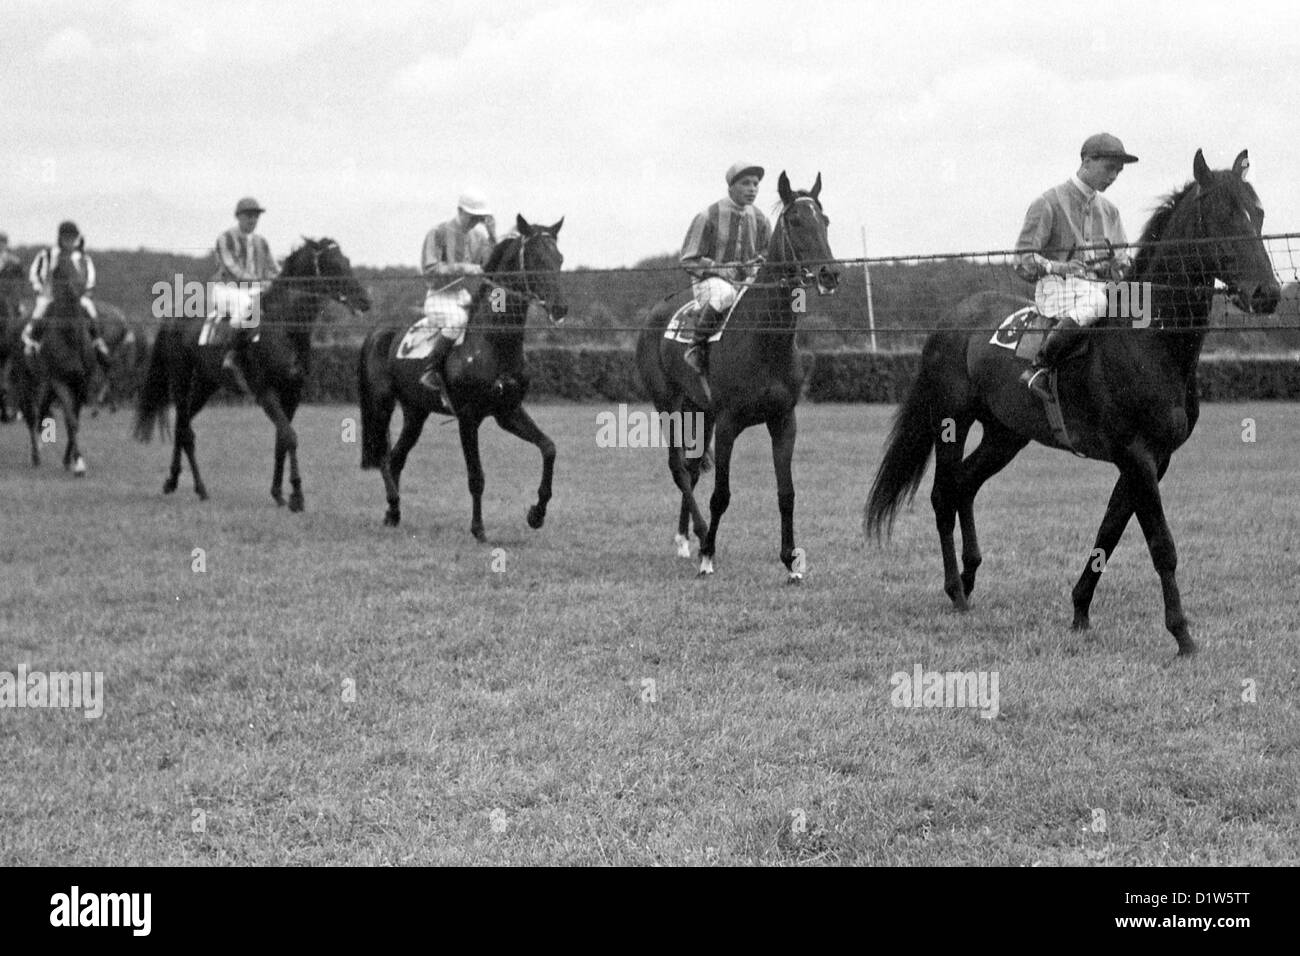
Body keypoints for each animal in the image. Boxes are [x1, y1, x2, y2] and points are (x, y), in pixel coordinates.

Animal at [12, 252, 94, 473]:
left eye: (82, 262)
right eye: (62, 265)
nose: (79, 287)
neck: (70, 336)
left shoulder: (81, 384)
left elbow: (74, 421)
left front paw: (69, 460)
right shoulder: (60, 382)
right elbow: (71, 421)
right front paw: (79, 463)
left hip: (45, 386)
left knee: (41, 412)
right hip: (26, 381)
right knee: (31, 415)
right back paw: (35, 456)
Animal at [135, 238, 369, 509]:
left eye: (347, 261)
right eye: (333, 265)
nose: (365, 300)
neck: (285, 327)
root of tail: (173, 318)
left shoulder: (293, 393)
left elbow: (281, 440)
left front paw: (278, 492)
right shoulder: (265, 392)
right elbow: (290, 437)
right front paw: (297, 495)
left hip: (206, 384)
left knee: (182, 426)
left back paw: (172, 481)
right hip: (180, 378)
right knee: (185, 430)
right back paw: (200, 488)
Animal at [364, 217, 572, 541]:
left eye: (559, 259)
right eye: (536, 259)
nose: (560, 308)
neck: (494, 343)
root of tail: (382, 332)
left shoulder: (508, 412)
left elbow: (549, 448)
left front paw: (536, 514)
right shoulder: (468, 417)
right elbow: (476, 476)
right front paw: (478, 529)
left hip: (415, 413)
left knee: (396, 458)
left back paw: (393, 513)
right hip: (382, 405)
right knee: (385, 456)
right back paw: (393, 505)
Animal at [634, 171, 837, 582]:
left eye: (824, 221)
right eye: (796, 221)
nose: (829, 273)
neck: (765, 341)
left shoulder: (783, 421)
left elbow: (787, 493)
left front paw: (791, 561)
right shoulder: (729, 422)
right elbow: (721, 494)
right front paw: (708, 556)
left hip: (701, 409)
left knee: (692, 468)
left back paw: (687, 538)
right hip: (668, 404)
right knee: (679, 468)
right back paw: (697, 537)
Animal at [863, 149, 1279, 658]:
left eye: (1257, 213)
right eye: (1222, 216)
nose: (1267, 294)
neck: (1149, 342)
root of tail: (953, 319)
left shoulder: (1151, 461)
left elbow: (1109, 533)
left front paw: (1080, 609)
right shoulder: (1137, 456)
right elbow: (1161, 546)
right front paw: (1181, 633)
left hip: (1005, 435)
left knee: (964, 485)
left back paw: (970, 573)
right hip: (952, 422)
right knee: (944, 493)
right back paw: (956, 590)